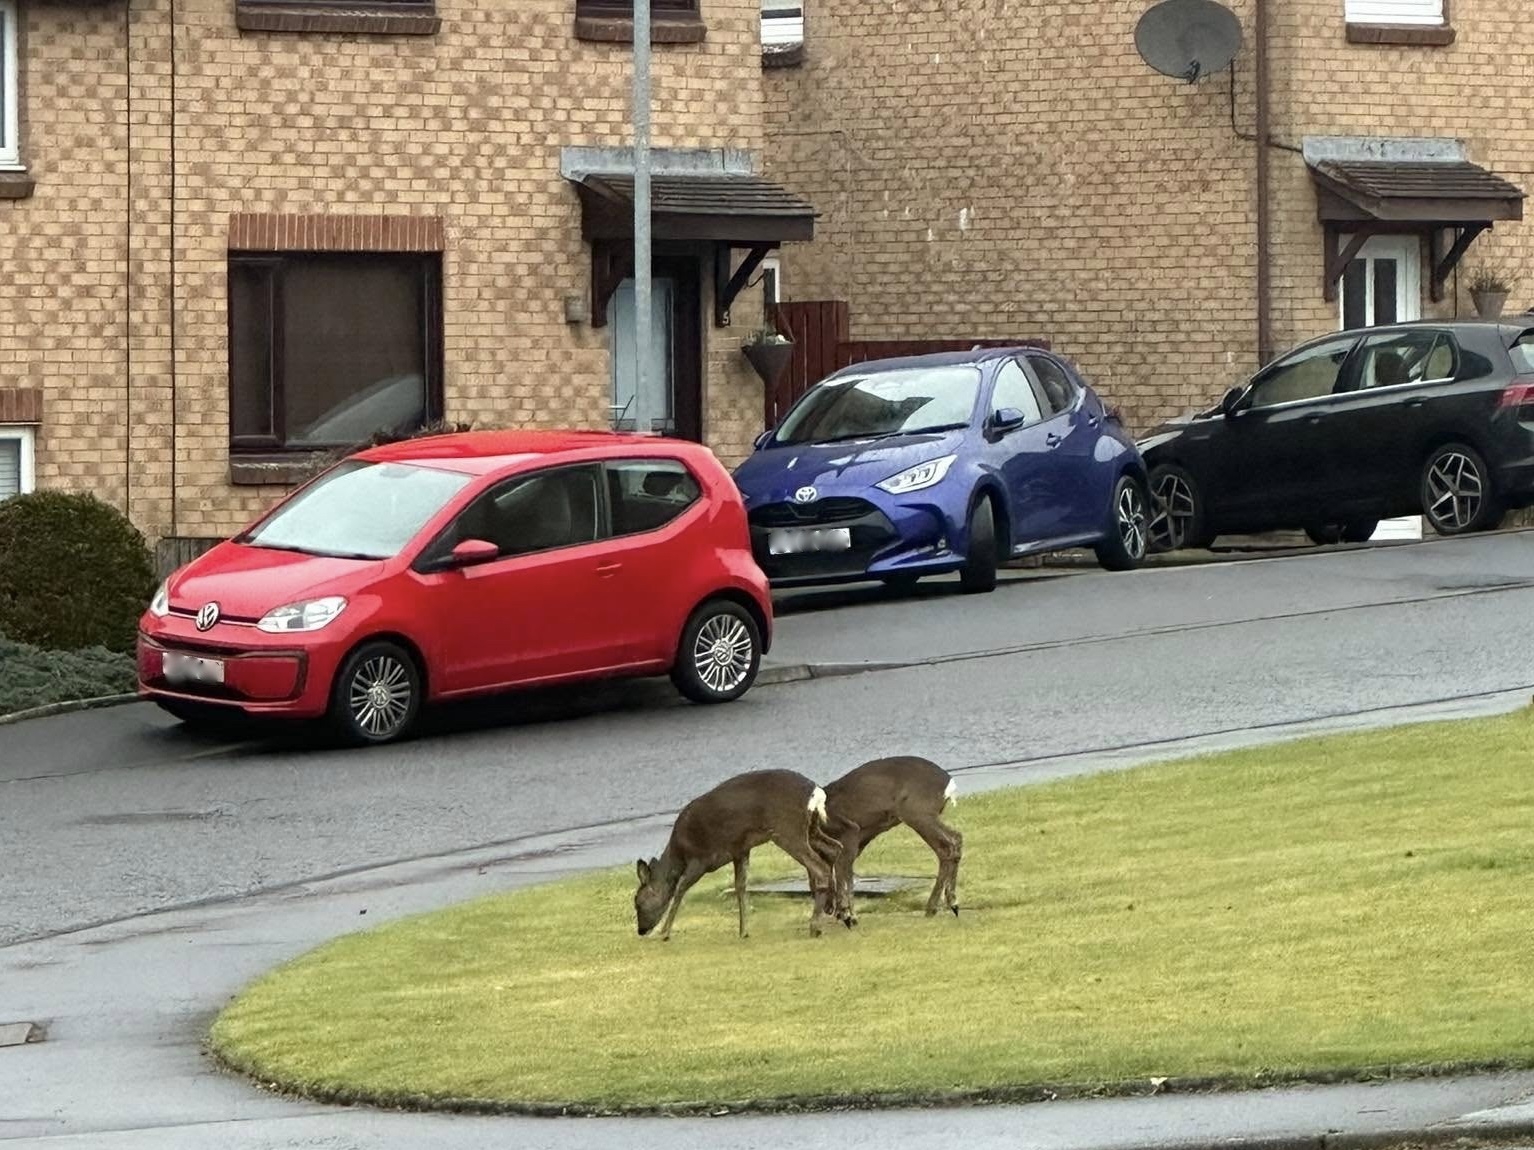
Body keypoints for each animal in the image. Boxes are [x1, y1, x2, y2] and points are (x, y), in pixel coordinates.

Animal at [634, 769, 844, 941]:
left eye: (638, 903)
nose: (641, 930)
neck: (679, 852)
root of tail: (816, 792)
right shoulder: (740, 850)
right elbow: (740, 886)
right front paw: (743, 931)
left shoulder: (699, 858)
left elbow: (680, 888)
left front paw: (665, 932)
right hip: (811, 828)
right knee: (835, 848)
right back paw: (840, 911)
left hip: (787, 828)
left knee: (819, 866)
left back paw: (816, 926)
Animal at [819, 755, 962, 926]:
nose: (827, 908)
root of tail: (948, 782)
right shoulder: (860, 837)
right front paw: (843, 913)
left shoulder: (849, 834)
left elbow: (841, 870)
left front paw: (847, 915)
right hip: (923, 815)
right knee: (956, 838)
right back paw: (951, 903)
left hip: (917, 812)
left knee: (947, 846)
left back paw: (934, 908)